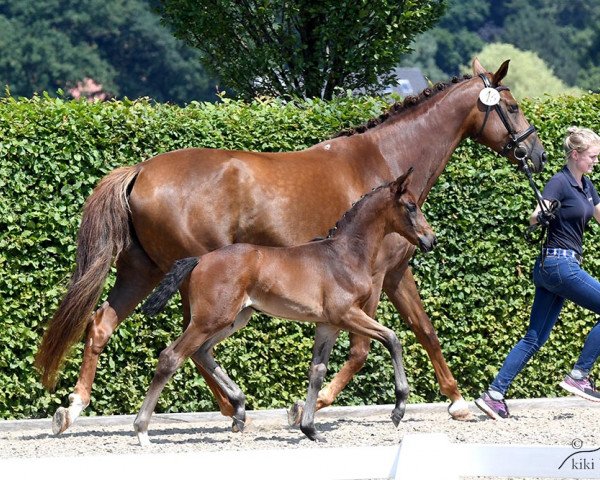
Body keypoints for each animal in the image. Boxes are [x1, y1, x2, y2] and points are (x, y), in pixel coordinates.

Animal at [136, 170, 436, 446]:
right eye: (411, 206)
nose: (430, 240)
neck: (345, 255)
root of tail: (200, 259)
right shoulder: (347, 314)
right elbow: (392, 339)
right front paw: (398, 409)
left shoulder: (328, 324)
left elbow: (317, 372)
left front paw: (310, 429)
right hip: (210, 319)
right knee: (171, 357)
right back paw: (142, 430)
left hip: (235, 318)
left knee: (201, 352)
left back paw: (240, 410)